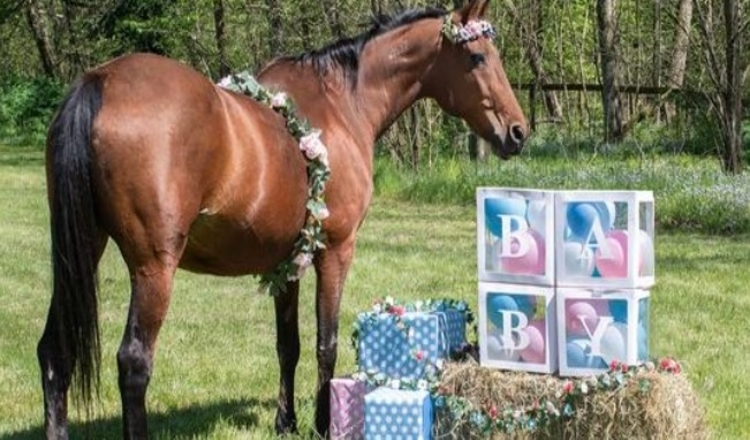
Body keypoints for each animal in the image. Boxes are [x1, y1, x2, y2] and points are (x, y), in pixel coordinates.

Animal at [36, 0, 528, 436]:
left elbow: (287, 345)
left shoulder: (287, 261)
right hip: (154, 268)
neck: (342, 106)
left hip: (82, 251)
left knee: (54, 355)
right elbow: (326, 343)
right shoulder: (336, 251)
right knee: (134, 363)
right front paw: (324, 423)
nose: (518, 132)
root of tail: (100, 80)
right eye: (478, 57)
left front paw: (286, 421)